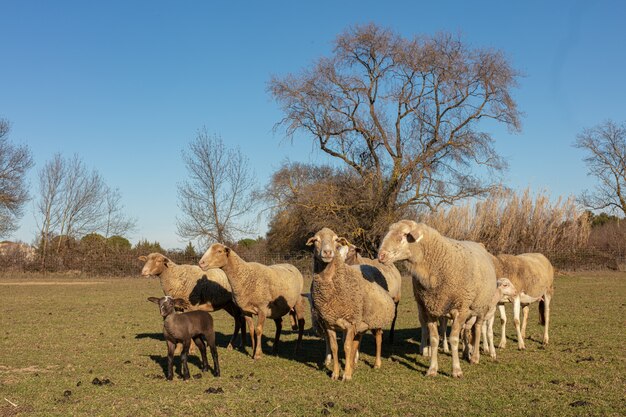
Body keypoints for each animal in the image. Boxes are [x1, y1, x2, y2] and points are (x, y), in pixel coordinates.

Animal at [304, 228, 392, 380]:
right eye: (316, 240)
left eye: (335, 240)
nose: (327, 252)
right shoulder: (329, 322)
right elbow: (335, 347)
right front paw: (335, 373)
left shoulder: (350, 323)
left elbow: (347, 347)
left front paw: (346, 375)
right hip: (361, 322)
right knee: (357, 341)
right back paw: (353, 365)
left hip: (375, 318)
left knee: (378, 339)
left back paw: (376, 364)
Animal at [376, 221, 498, 376]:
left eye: (404, 234)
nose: (381, 255)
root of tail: (480, 245)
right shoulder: (430, 309)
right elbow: (434, 339)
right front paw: (432, 369)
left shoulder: (460, 308)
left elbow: (453, 339)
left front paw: (456, 370)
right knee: (467, 330)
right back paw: (466, 353)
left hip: (482, 306)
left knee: (477, 328)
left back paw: (475, 357)